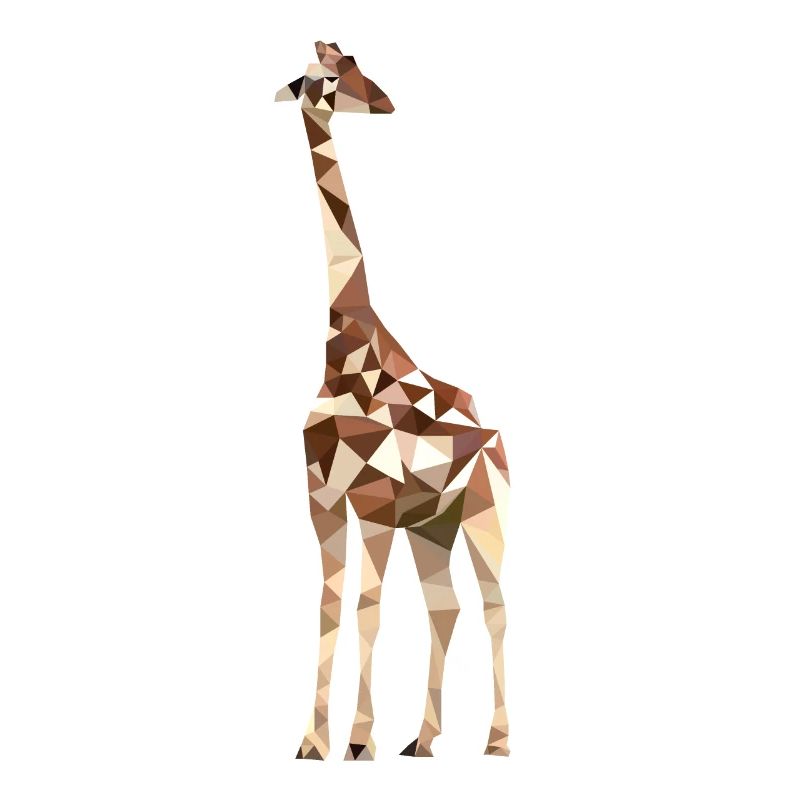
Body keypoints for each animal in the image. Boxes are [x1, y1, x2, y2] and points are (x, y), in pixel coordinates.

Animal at [276, 42, 510, 760]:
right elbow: (329, 605)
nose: (385, 102)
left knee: (496, 607)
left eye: (353, 60)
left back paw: (497, 743)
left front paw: (356, 742)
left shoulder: (375, 504)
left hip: (486, 517)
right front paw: (311, 743)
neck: (345, 352)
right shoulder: (324, 500)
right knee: (447, 606)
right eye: (328, 75)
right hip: (434, 528)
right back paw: (424, 740)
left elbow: (367, 609)